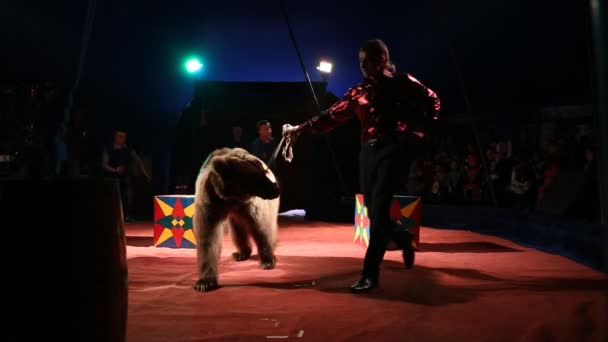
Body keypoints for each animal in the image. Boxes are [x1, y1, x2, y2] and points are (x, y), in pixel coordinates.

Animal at [192, 147, 280, 292]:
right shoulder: (209, 204)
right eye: (256, 177)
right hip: (235, 216)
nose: (276, 188)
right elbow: (208, 238)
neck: (232, 197)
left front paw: (267, 261)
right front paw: (204, 282)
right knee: (238, 230)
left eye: (263, 172)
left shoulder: (251, 205)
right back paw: (241, 253)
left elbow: (260, 228)